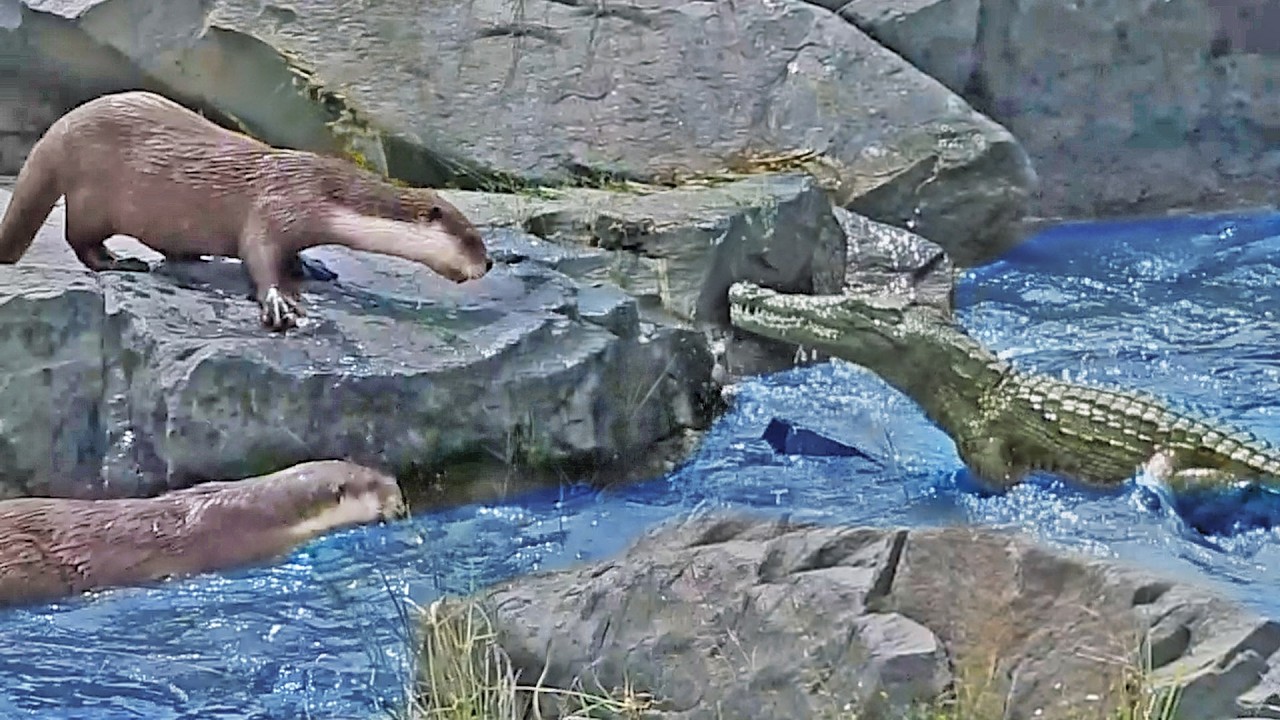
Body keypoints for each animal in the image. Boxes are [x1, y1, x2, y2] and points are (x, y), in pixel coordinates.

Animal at [0, 91, 492, 331]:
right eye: (472, 237)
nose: (488, 264)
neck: (320, 192)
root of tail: (60, 129)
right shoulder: (276, 205)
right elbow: (258, 255)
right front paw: (282, 304)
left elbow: (291, 254)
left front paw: (311, 267)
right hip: (93, 196)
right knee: (79, 237)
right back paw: (119, 261)